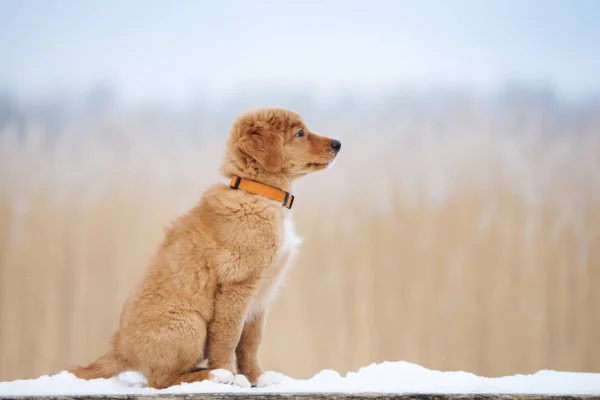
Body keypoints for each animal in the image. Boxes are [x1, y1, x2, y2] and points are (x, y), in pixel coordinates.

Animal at [67, 108, 340, 390]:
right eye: (300, 133)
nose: (338, 144)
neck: (259, 194)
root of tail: (119, 351)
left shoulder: (261, 296)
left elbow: (251, 341)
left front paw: (257, 376)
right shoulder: (238, 284)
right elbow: (229, 337)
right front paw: (233, 375)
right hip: (190, 324)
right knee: (160, 380)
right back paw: (213, 375)